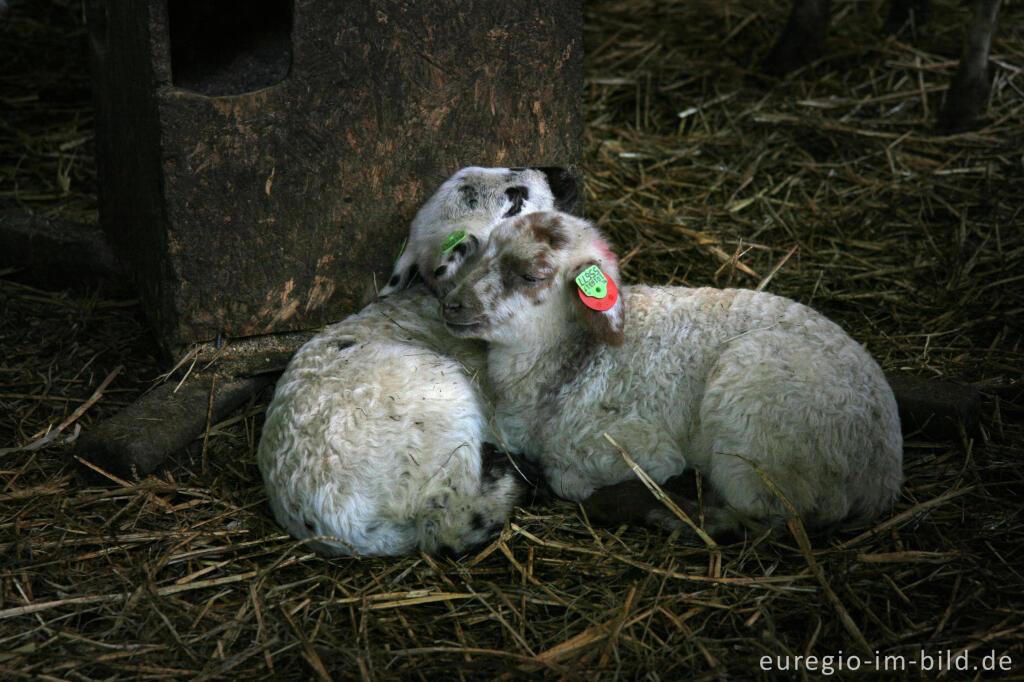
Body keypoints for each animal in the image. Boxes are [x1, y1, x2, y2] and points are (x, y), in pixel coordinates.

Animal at [442, 209, 905, 532]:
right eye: (482, 254)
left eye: (531, 275)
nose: (451, 304)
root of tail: (882, 474)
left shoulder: (638, 446)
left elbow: (566, 479)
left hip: (754, 424)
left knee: (758, 517)